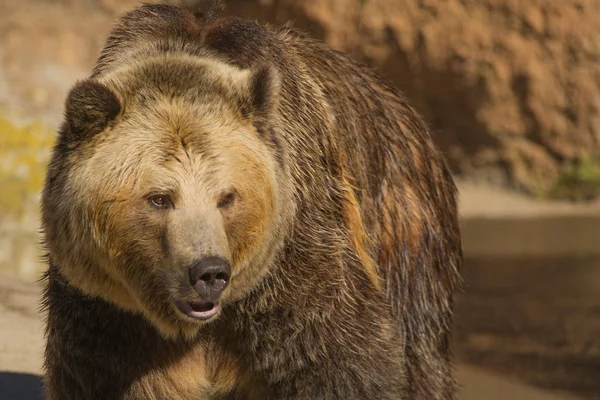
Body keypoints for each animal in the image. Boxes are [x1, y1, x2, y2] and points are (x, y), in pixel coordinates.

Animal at [42, 1, 462, 398]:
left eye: (227, 196)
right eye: (160, 198)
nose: (208, 272)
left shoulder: (293, 263)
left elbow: (340, 361)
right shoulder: (109, 310)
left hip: (404, 231)